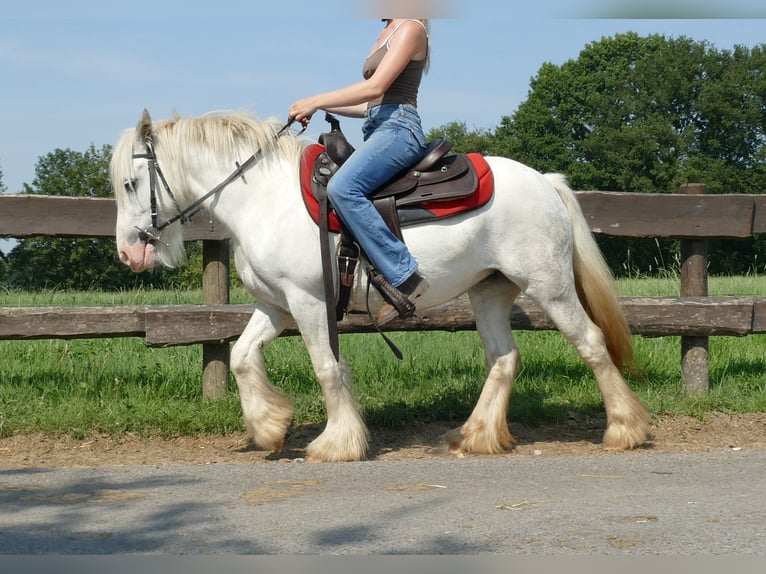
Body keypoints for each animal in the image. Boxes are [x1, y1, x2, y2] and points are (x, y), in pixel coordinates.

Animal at [111, 109, 650, 462]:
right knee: (503, 359)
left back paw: (625, 429)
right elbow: (242, 358)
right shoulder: (277, 306)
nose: (128, 253)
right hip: (489, 291)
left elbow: (327, 368)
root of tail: (545, 181)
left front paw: (337, 443)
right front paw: (269, 427)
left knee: (591, 342)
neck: (264, 199)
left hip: (550, 286)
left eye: (131, 184)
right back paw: (475, 435)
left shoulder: (308, 302)